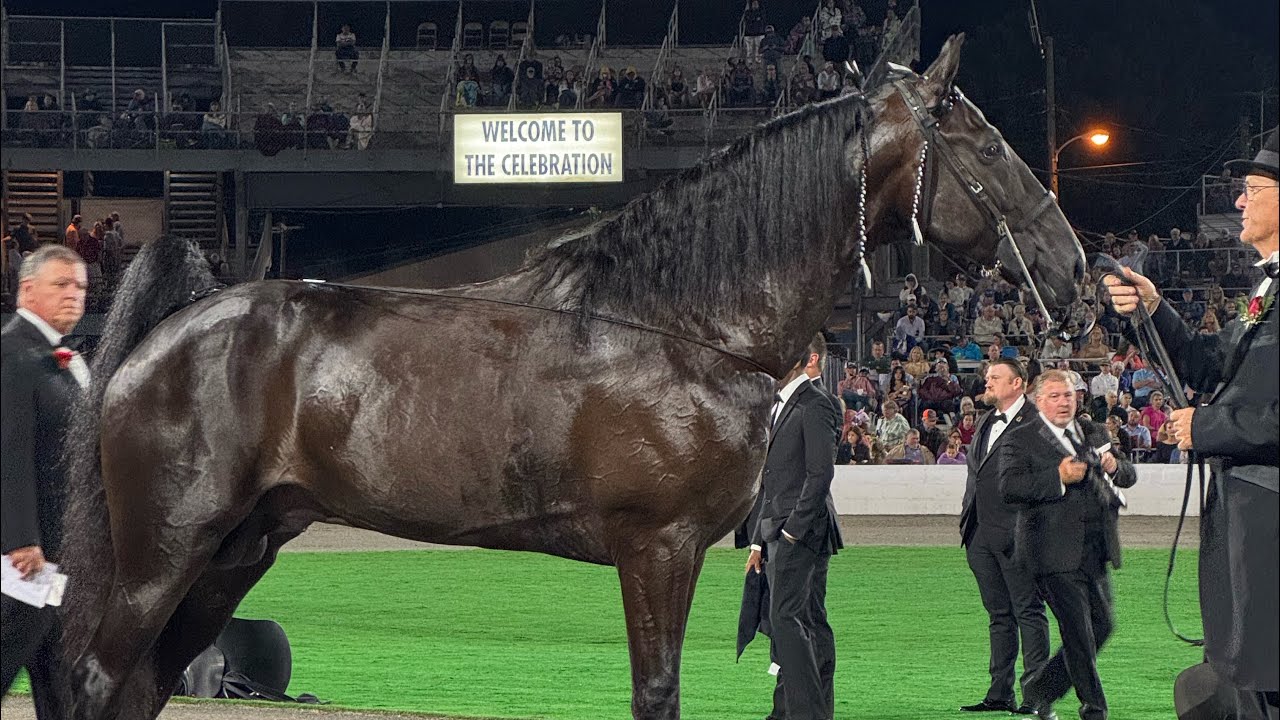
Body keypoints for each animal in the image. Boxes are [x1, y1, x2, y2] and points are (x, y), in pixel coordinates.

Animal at [61, 34, 1084, 720]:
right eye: (989, 147)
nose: (1072, 268)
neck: (681, 325)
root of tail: (176, 325)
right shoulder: (657, 548)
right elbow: (656, 693)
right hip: (167, 553)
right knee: (103, 678)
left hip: (238, 552)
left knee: (145, 685)